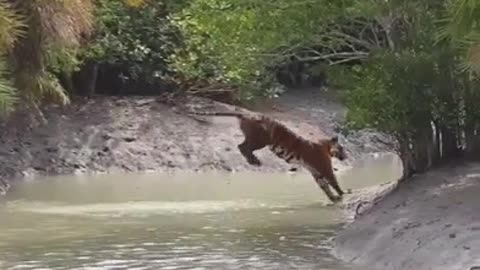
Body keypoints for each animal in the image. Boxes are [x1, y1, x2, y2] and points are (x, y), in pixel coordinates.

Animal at [188, 110, 348, 202]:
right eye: (342, 148)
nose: (346, 156)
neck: (326, 146)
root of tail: (246, 114)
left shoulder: (315, 172)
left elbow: (325, 186)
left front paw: (334, 198)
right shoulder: (324, 167)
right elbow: (333, 181)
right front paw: (343, 193)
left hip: (257, 139)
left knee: (241, 146)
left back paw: (253, 161)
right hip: (262, 139)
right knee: (243, 147)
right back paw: (255, 161)